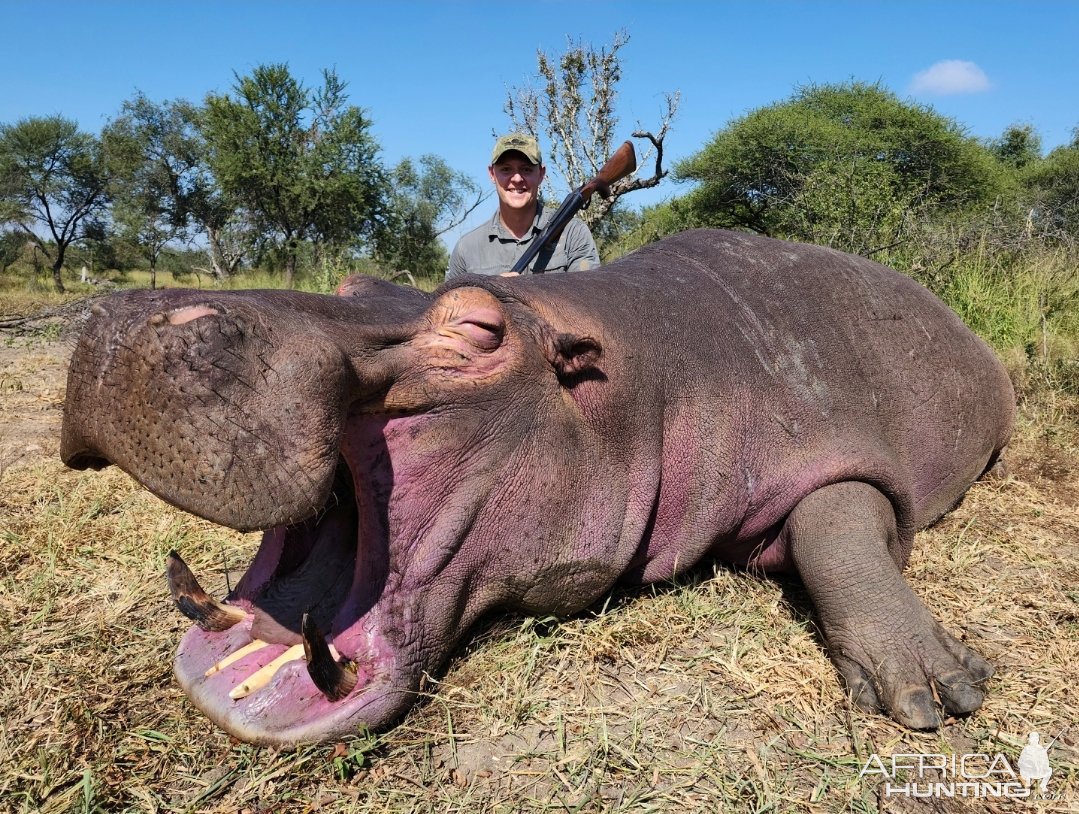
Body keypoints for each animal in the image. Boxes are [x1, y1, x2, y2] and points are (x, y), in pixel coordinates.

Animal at [59, 226, 1014, 742]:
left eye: (479, 332)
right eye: (349, 282)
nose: (133, 314)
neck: (638, 374)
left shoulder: (823, 435)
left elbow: (838, 526)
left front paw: (937, 691)